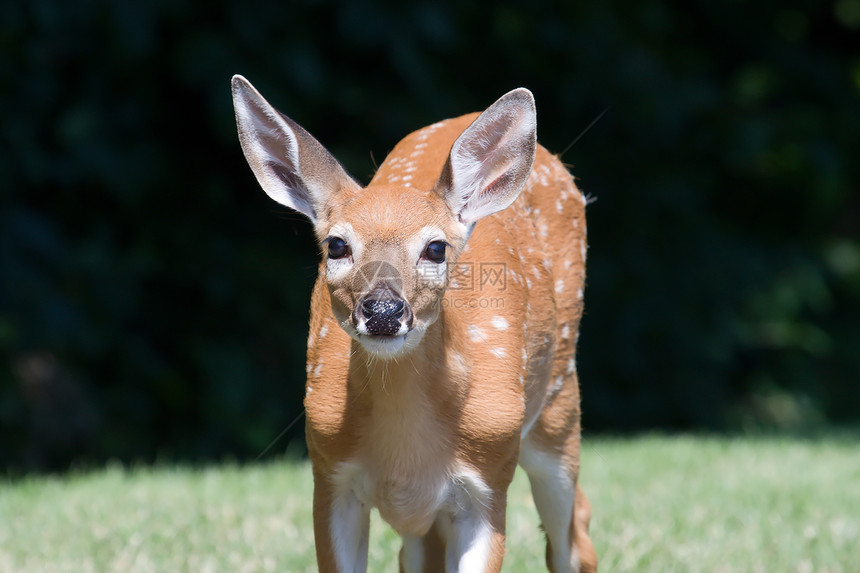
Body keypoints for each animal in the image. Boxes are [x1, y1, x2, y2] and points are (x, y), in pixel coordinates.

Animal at [232, 76, 600, 572]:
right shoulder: (328, 473)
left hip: (558, 407)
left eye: (436, 248)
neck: (406, 454)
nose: (384, 312)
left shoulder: (490, 478)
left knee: (574, 531)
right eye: (336, 244)